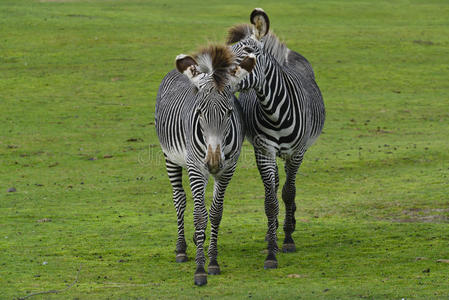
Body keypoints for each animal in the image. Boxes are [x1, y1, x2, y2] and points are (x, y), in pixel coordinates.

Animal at [156, 44, 256, 286]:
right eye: (199, 111)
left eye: (229, 112)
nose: (213, 161)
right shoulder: (195, 167)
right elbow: (200, 215)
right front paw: (200, 269)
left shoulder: (227, 170)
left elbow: (216, 213)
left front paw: (213, 261)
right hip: (170, 157)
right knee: (180, 199)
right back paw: (181, 249)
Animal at [226, 8, 324, 270]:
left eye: (248, 54)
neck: (274, 111)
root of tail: (285, 54)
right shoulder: (263, 151)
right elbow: (270, 201)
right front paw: (271, 250)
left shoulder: (297, 152)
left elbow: (289, 192)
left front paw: (288, 239)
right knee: (277, 185)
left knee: (288, 186)